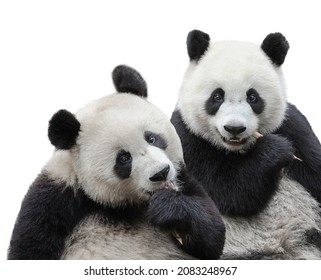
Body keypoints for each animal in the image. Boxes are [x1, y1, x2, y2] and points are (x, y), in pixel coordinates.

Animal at [9, 64, 225, 260]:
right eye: (123, 158)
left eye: (152, 138)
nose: (161, 173)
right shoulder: (56, 195)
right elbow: (32, 246)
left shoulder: (182, 177)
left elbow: (211, 236)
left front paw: (169, 207)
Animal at [171, 29, 320, 260]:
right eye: (217, 96)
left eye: (252, 97)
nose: (234, 128)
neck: (237, 150)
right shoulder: (186, 138)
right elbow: (227, 191)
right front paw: (275, 151)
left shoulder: (294, 128)